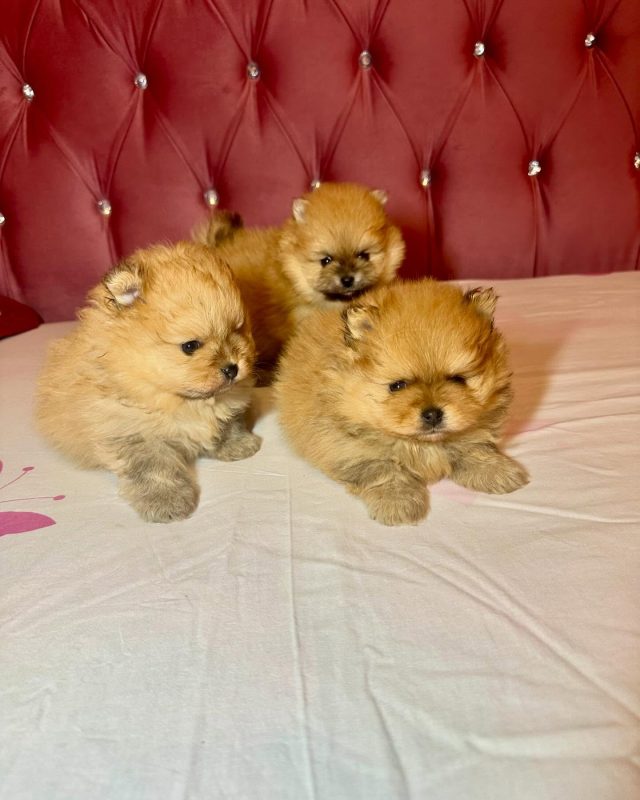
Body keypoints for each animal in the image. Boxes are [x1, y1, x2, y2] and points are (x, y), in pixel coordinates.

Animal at [35, 241, 260, 523]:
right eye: (190, 346)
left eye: (237, 330)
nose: (232, 368)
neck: (181, 400)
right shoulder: (132, 432)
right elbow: (155, 470)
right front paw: (166, 501)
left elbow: (228, 424)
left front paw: (239, 445)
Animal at [275, 279, 528, 526]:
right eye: (397, 385)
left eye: (458, 379)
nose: (432, 414)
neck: (421, 444)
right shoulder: (349, 448)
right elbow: (385, 471)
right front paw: (398, 503)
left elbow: (475, 449)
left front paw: (497, 472)